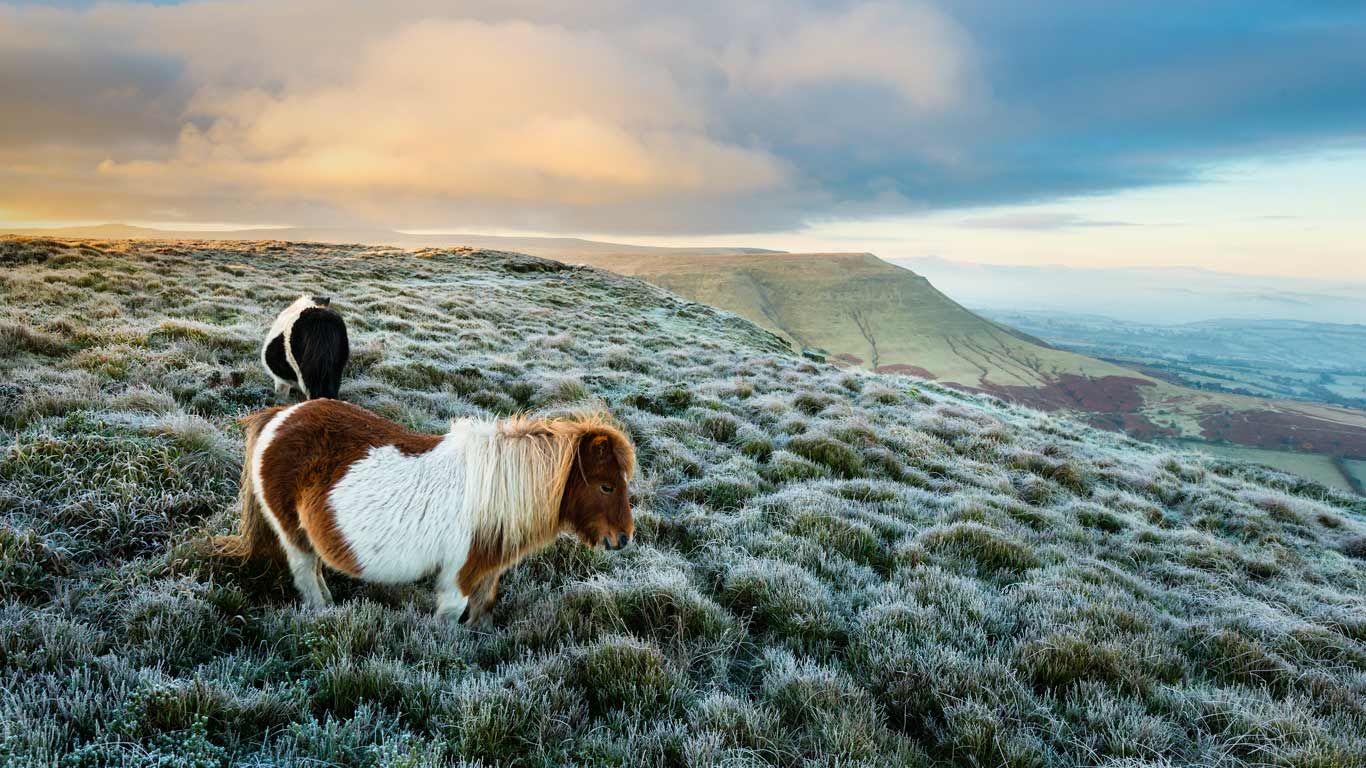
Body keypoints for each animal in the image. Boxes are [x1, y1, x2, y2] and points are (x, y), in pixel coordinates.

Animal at [222, 398, 635, 624]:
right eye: (606, 486)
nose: (624, 538)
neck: (498, 493)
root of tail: (280, 416)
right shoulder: (458, 578)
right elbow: (448, 621)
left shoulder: (487, 574)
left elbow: (481, 613)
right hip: (293, 534)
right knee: (306, 574)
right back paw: (325, 612)